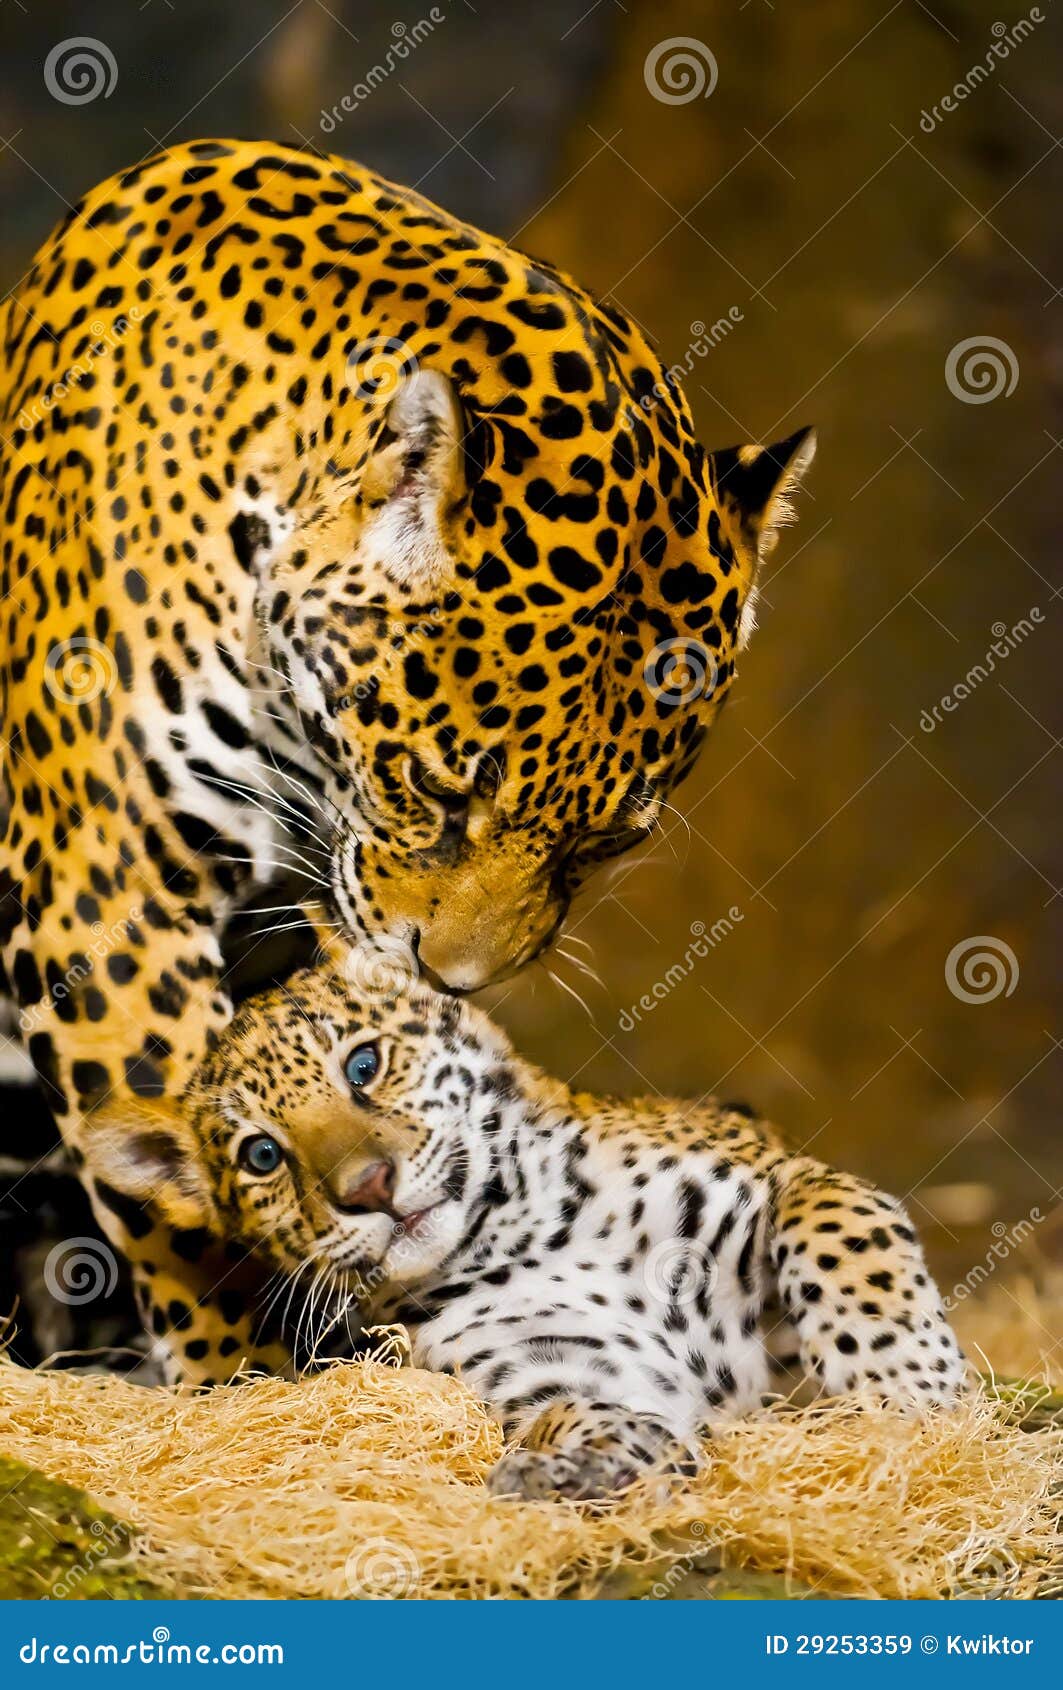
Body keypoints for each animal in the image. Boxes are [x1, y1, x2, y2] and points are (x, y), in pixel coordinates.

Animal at [0, 138, 816, 1381]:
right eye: (434, 788)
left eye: (604, 842)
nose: (457, 981)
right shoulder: (110, 893)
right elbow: (188, 1188)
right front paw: (248, 1377)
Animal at [84, 966, 966, 1483]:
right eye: (262, 1154)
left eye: (364, 1065)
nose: (369, 1187)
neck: (525, 1238)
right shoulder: (552, 1368)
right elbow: (565, 1414)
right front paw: (602, 1455)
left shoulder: (773, 1177)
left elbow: (832, 1224)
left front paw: (907, 1389)